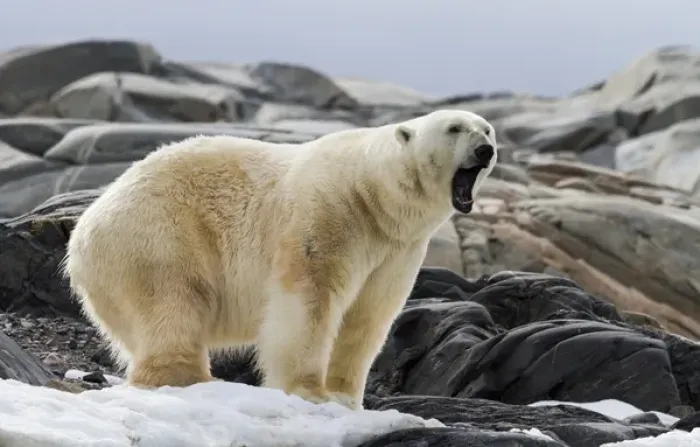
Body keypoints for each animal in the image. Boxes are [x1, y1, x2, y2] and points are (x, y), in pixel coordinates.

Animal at [61, 109, 498, 410]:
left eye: (486, 128)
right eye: (454, 128)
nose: (485, 149)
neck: (371, 193)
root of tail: (84, 231)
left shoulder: (396, 250)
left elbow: (368, 315)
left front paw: (346, 397)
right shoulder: (328, 215)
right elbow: (309, 301)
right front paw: (309, 392)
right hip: (159, 233)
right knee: (173, 301)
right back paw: (186, 377)